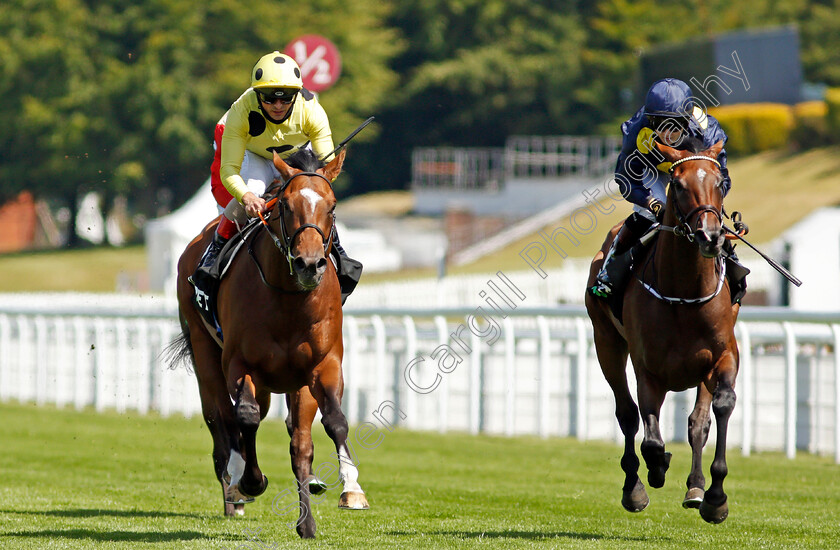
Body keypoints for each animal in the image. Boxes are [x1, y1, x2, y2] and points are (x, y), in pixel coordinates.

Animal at [170, 149, 368, 540]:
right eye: (286, 206)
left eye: (333, 206)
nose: (309, 265)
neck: (289, 298)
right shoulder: (240, 364)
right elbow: (245, 417)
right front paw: (251, 480)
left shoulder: (321, 365)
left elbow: (327, 426)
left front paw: (348, 491)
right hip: (205, 352)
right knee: (223, 416)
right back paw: (234, 486)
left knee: (288, 431)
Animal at [588, 140, 740, 524]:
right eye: (678, 184)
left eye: (720, 181)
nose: (709, 236)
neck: (684, 292)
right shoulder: (648, 368)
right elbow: (651, 438)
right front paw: (656, 470)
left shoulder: (723, 355)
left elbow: (720, 407)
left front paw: (716, 497)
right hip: (606, 343)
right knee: (627, 414)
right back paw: (634, 488)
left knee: (697, 422)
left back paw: (696, 489)